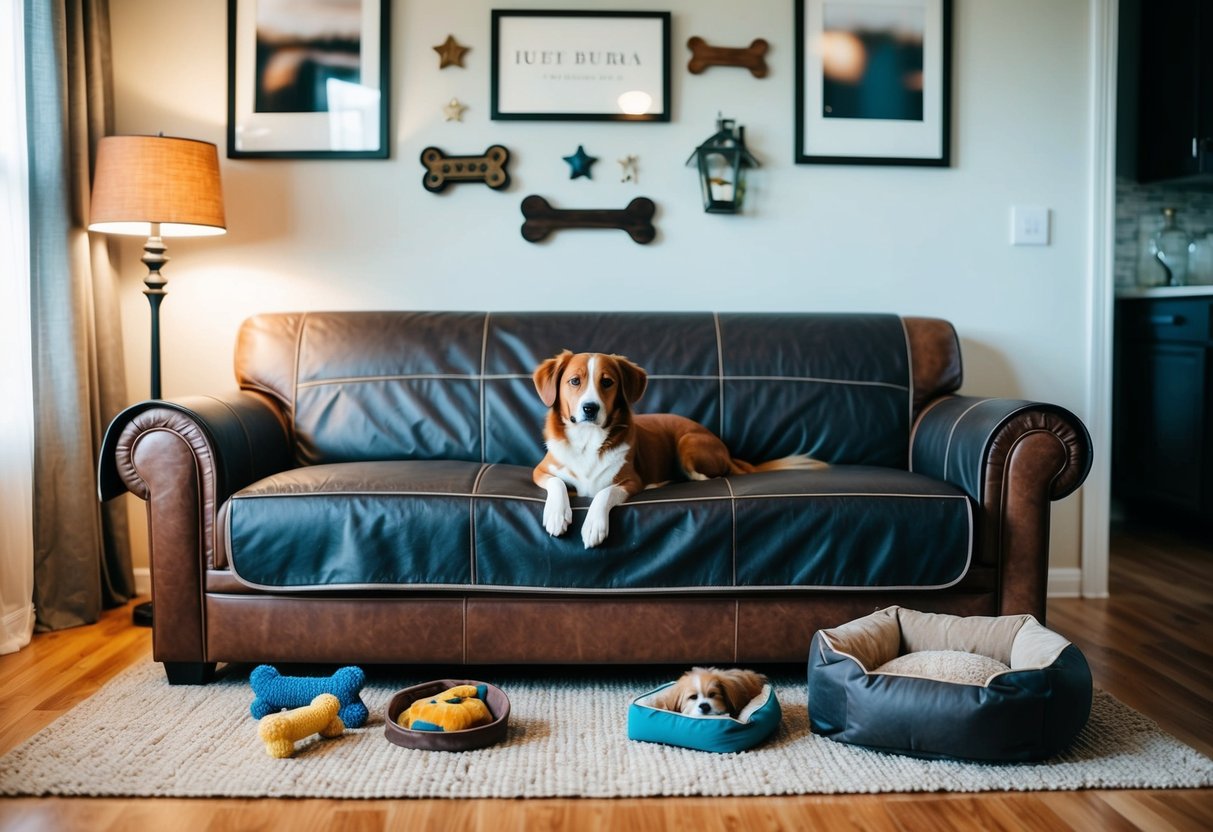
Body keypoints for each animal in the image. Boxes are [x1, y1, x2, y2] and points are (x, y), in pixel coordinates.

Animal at [531, 349, 824, 550]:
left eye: (607, 382)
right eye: (574, 381)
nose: (590, 408)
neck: (588, 439)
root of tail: (728, 452)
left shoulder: (631, 481)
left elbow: (604, 493)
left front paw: (594, 525)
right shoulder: (540, 471)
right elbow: (557, 482)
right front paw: (556, 515)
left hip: (688, 443)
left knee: (711, 475)